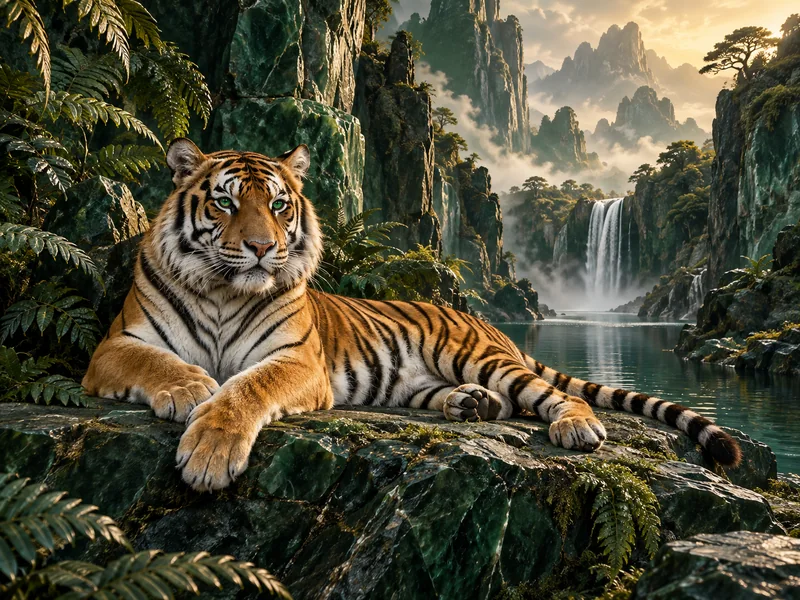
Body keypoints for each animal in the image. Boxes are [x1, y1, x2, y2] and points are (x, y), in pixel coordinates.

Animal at [82, 139, 742, 492]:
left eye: (278, 205)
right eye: (224, 202)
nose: (263, 247)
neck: (224, 290)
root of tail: (488, 322)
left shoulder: (296, 360)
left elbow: (247, 389)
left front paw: (210, 451)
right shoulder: (113, 344)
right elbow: (157, 361)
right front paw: (190, 388)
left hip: (480, 357)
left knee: (552, 396)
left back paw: (575, 428)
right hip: (415, 383)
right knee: (481, 401)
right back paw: (470, 406)